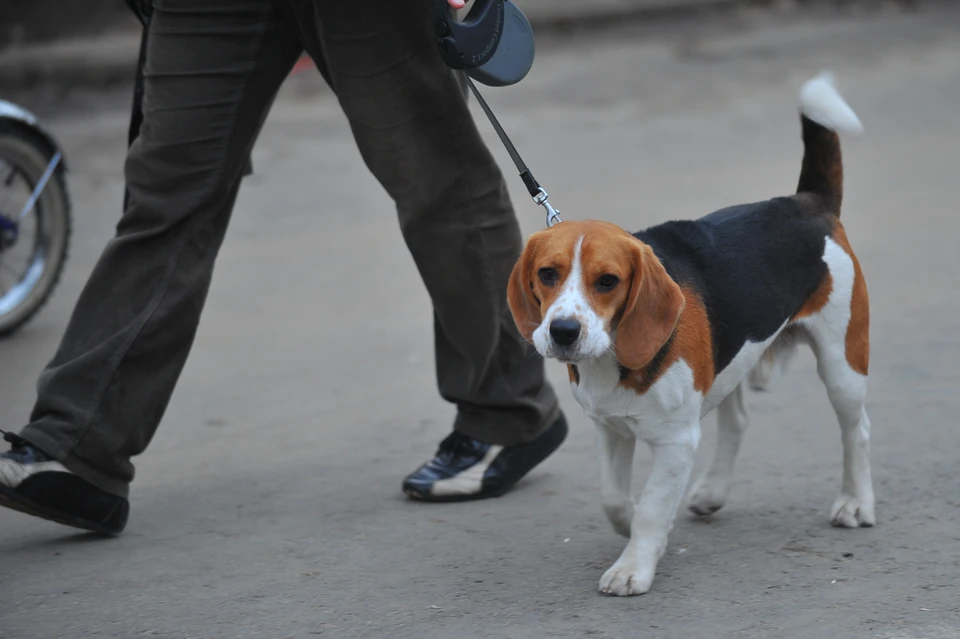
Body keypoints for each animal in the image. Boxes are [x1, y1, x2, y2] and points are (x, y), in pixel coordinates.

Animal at [506, 72, 872, 596]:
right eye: (547, 273)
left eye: (607, 281)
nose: (562, 331)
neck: (613, 359)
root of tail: (805, 202)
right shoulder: (609, 429)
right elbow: (613, 498)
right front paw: (632, 524)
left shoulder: (676, 440)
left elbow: (654, 505)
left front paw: (633, 566)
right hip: (730, 363)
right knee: (738, 422)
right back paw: (713, 491)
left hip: (843, 361)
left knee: (856, 429)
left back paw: (856, 503)